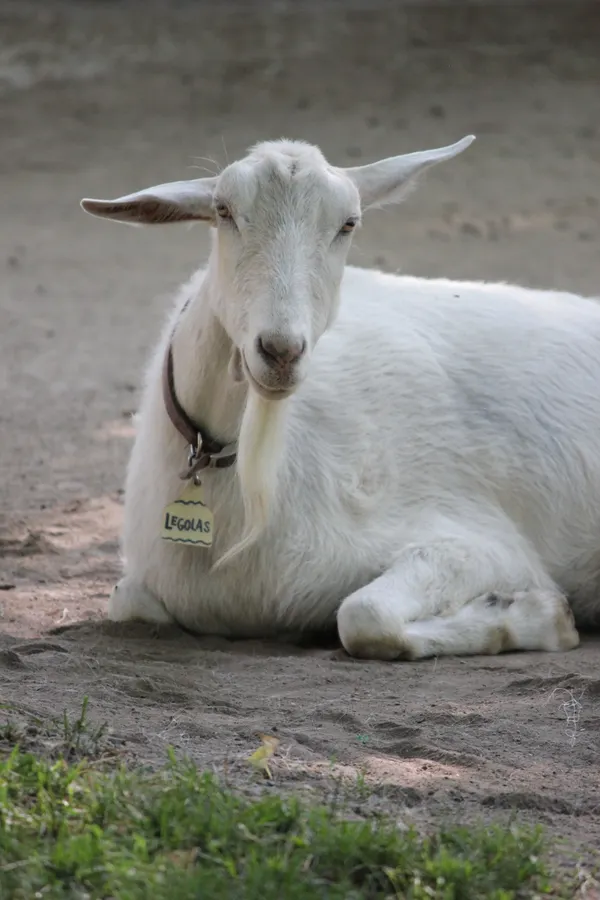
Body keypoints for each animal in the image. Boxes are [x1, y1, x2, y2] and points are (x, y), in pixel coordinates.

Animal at [80, 135, 600, 660]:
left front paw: (542, 616)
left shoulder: (483, 544)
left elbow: (364, 616)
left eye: (348, 223)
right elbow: (128, 600)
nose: (281, 351)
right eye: (223, 210)